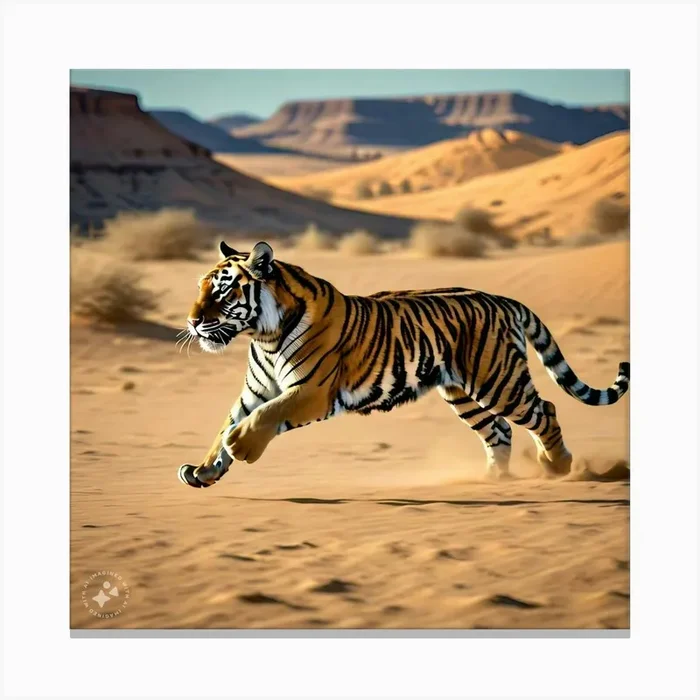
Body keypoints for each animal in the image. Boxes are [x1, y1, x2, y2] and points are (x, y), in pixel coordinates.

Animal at [178, 240, 630, 488]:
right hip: (462, 393)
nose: (193, 321)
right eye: (200, 288)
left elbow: (264, 417)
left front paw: (240, 446)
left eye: (222, 292)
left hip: (498, 382)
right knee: (499, 431)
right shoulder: (256, 391)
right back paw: (492, 480)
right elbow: (226, 423)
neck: (263, 335)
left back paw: (559, 467)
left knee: (544, 411)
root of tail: (502, 299)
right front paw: (203, 471)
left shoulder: (312, 390)